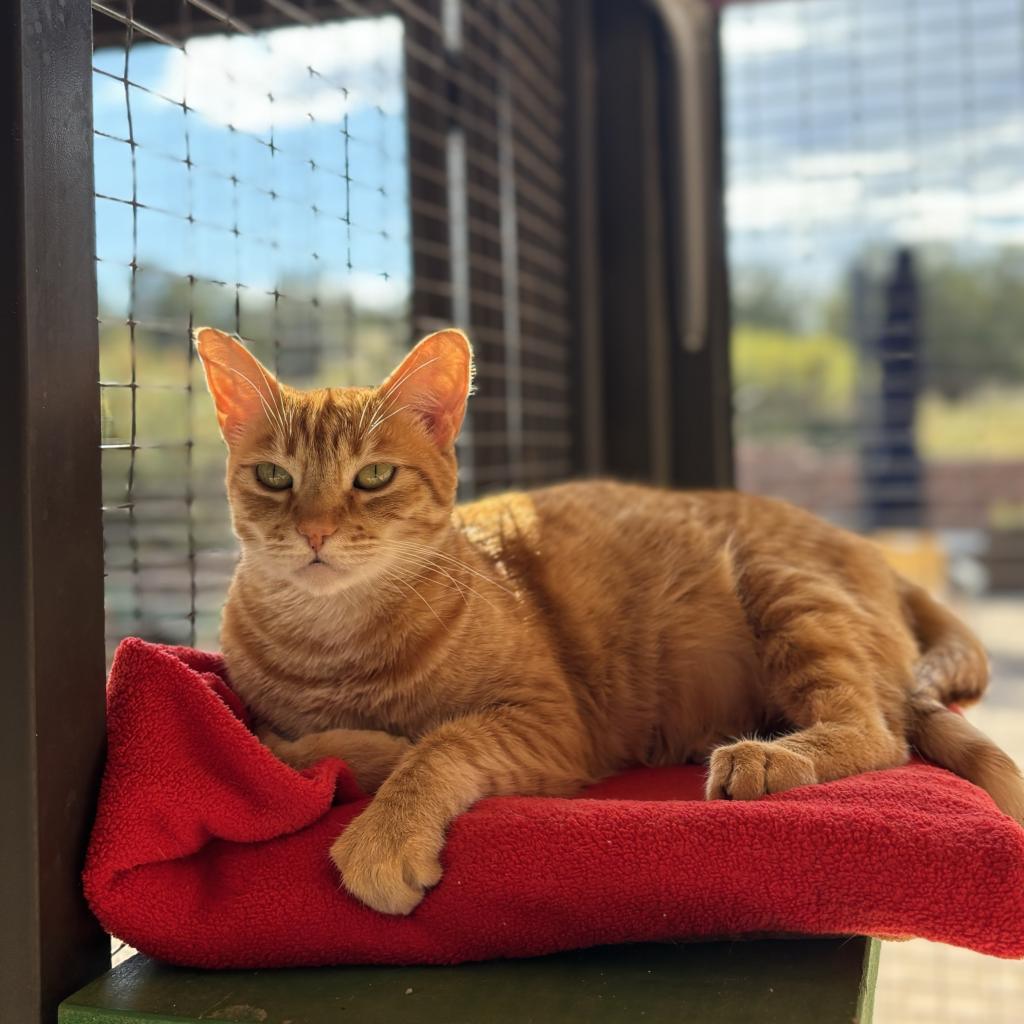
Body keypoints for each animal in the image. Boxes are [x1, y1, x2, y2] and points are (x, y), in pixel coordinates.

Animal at [195, 325, 1024, 913]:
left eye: (372, 477)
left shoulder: (551, 724)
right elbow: (287, 745)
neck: (337, 644)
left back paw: (767, 756)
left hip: (783, 590)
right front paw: (360, 753)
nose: (315, 531)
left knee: (880, 735)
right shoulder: (268, 713)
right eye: (274, 477)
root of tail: (870, 551)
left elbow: (436, 745)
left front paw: (386, 827)